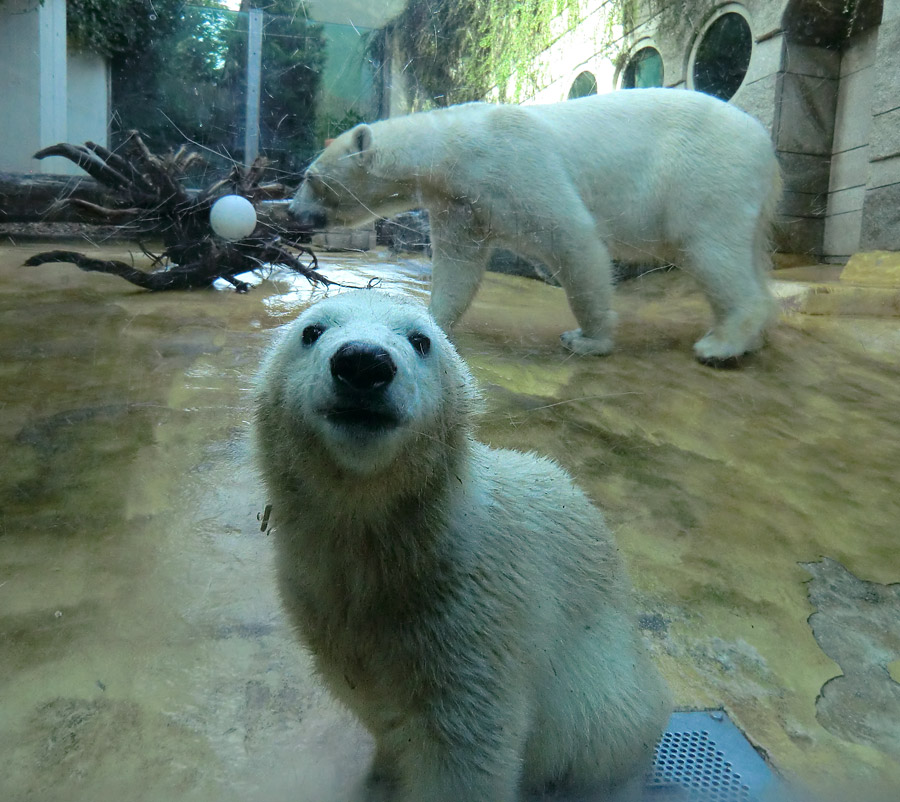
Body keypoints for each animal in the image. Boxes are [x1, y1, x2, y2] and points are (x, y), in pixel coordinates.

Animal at [290, 88, 780, 362]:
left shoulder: (514, 165)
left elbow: (573, 239)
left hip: (705, 174)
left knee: (711, 250)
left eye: (310, 177)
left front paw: (587, 339)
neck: (450, 150)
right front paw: (431, 321)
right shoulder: (461, 203)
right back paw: (751, 339)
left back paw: (721, 345)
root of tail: (766, 144)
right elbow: (458, 267)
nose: (293, 212)